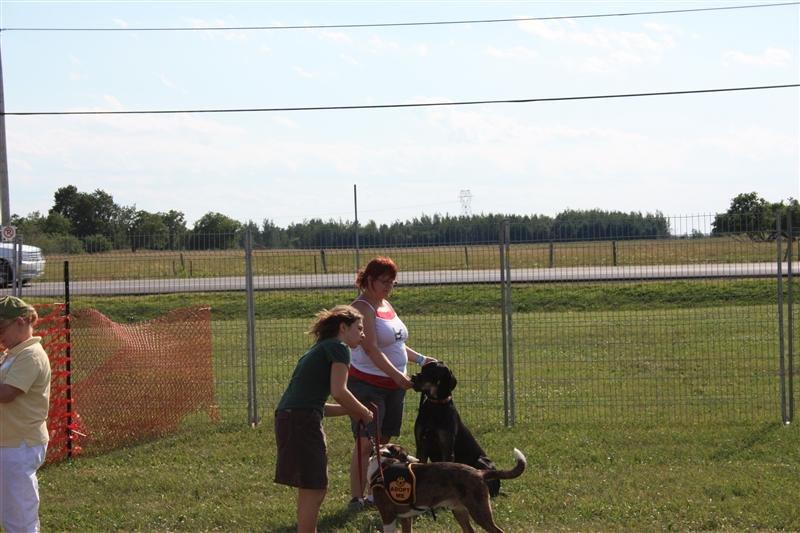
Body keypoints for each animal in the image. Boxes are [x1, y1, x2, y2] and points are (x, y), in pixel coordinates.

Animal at [368, 443, 526, 533]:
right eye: (405, 455)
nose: (418, 460)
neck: (383, 465)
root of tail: (479, 472)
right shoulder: (405, 517)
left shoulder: (388, 515)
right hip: (459, 511)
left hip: (479, 512)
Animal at [410, 361, 502, 497]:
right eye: (422, 369)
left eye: (431, 372)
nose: (413, 377)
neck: (435, 405)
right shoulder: (421, 445)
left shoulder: (446, 447)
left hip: (482, 461)